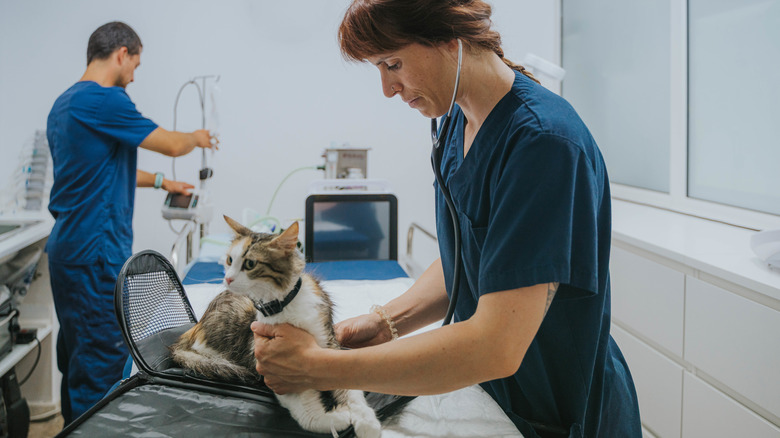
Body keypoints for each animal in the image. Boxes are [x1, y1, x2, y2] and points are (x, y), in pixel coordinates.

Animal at [175, 216, 386, 438]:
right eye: (230, 260)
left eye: (250, 263)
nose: (227, 278)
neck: (283, 306)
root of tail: (194, 327)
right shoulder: (270, 365)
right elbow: (305, 411)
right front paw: (335, 419)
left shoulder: (328, 342)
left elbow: (349, 385)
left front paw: (367, 422)